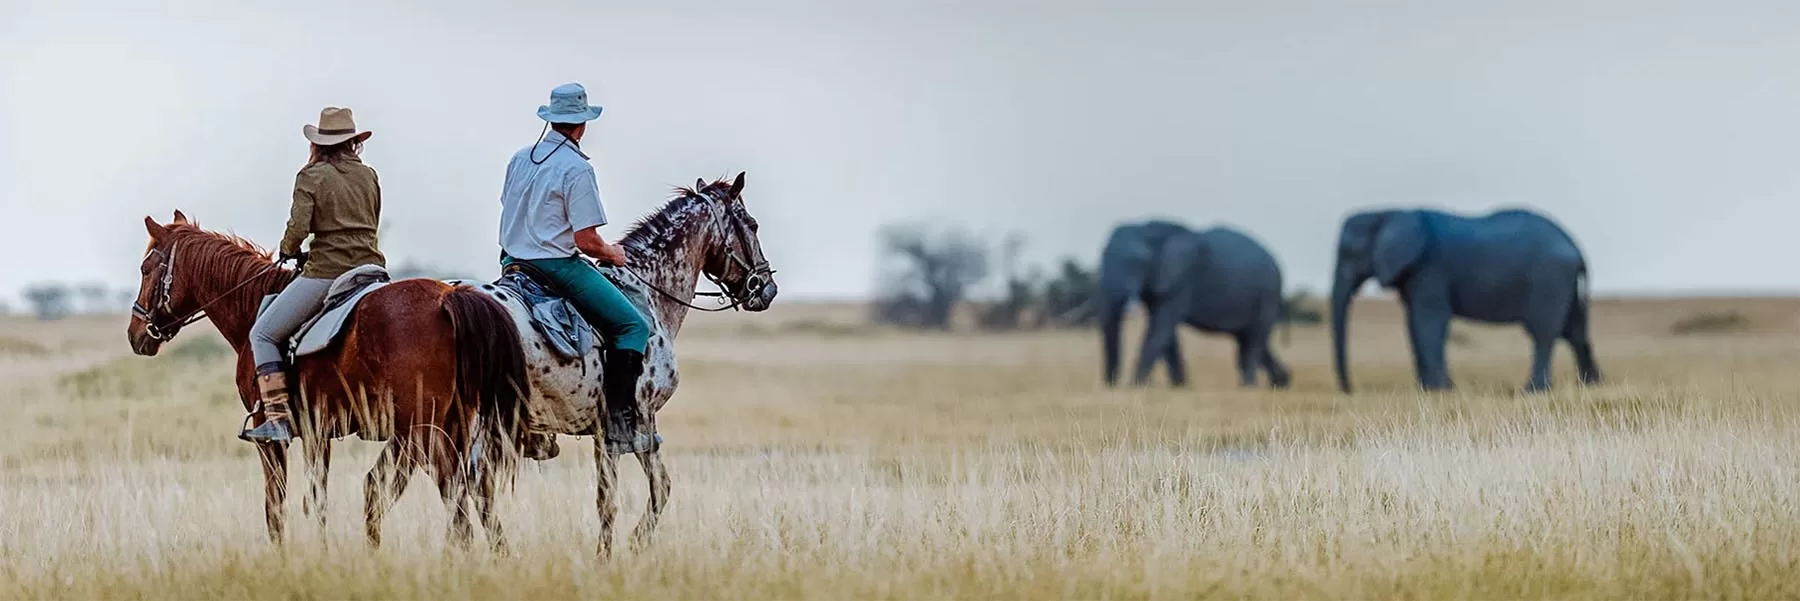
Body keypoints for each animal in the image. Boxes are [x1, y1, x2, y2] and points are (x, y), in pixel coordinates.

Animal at [126, 211, 525, 550]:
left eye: (146, 269)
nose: (136, 334)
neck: (253, 305)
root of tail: (448, 297)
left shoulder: (271, 437)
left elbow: (277, 506)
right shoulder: (318, 433)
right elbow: (316, 498)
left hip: (426, 429)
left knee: (455, 491)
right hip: (452, 424)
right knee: (475, 490)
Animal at [464, 170, 774, 557]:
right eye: (753, 224)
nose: (767, 288)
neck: (650, 294)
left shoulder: (603, 430)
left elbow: (606, 497)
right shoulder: (638, 418)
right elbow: (654, 489)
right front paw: (627, 547)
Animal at [1101, 220, 1288, 390]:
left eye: (1135, 262)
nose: (1112, 386)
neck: (1148, 228)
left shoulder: (1182, 279)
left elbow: (1161, 326)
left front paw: (1135, 387)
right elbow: (1166, 332)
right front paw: (1179, 387)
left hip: (1269, 293)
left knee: (1254, 339)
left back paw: (1248, 387)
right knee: (1248, 339)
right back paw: (1281, 382)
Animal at [1324, 208, 1605, 392]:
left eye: (1349, 253)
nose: (1350, 390)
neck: (1389, 211)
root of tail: (1576, 249)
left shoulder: (1430, 268)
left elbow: (1429, 324)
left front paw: (1442, 390)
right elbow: (1413, 326)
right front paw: (1425, 390)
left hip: (1549, 278)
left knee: (1544, 334)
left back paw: (1534, 390)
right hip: (1564, 284)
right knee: (1575, 332)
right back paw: (1591, 385)